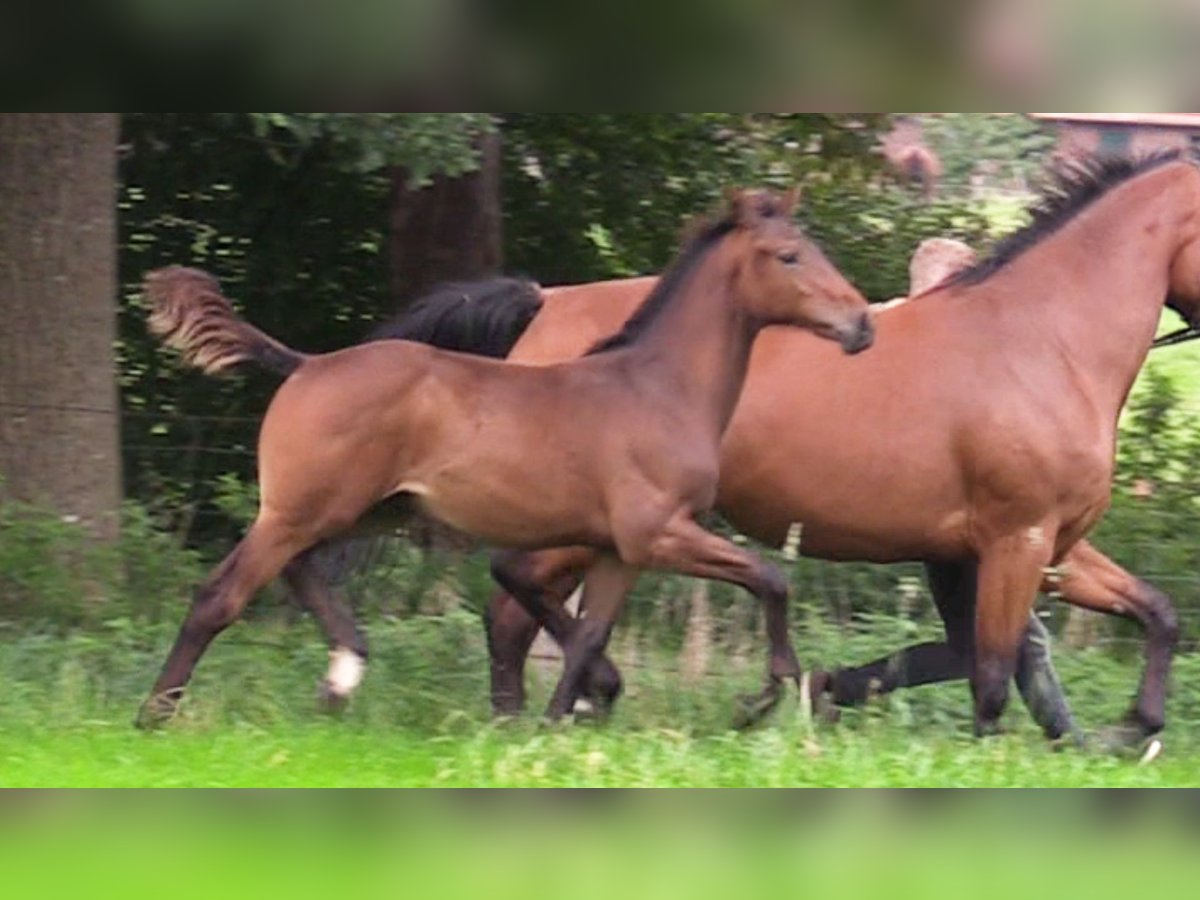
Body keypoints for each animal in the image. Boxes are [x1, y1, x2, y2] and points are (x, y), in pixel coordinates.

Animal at [138, 188, 873, 724]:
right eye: (788, 256)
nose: (861, 324)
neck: (659, 388)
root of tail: (306, 364)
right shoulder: (659, 534)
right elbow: (771, 578)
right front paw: (765, 699)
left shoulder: (618, 551)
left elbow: (588, 634)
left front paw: (559, 718)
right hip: (301, 511)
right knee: (220, 596)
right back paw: (155, 716)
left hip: (361, 511)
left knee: (302, 573)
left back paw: (343, 674)